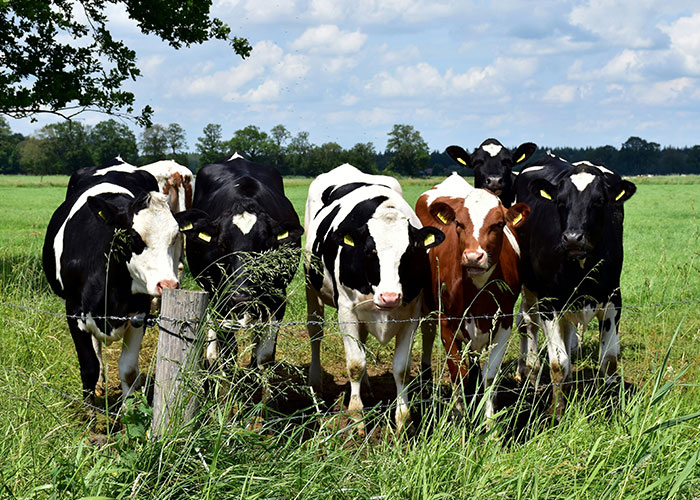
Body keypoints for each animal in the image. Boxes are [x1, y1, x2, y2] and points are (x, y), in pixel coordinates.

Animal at [43, 170, 197, 400]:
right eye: (134, 236)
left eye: (175, 236)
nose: (168, 284)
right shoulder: (73, 311)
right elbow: (89, 367)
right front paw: (89, 408)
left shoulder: (139, 314)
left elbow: (128, 369)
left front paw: (128, 405)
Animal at [178, 153, 303, 370]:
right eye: (221, 244)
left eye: (264, 245)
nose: (241, 297)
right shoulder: (221, 301)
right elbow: (229, 353)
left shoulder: (278, 298)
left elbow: (264, 355)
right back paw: (210, 356)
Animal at [305, 163, 445, 433]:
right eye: (371, 251)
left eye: (409, 253)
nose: (390, 297)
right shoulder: (346, 311)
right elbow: (355, 364)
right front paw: (356, 417)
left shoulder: (411, 314)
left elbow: (401, 368)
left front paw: (402, 419)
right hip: (311, 286)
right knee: (315, 331)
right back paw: (316, 382)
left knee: (363, 340)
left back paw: (367, 387)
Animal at [416, 173, 530, 420]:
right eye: (459, 224)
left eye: (498, 224)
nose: (473, 257)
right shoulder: (447, 323)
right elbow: (458, 373)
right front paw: (460, 417)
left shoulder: (503, 322)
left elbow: (490, 374)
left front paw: (489, 420)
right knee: (427, 332)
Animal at [513, 154, 636, 415]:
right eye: (560, 202)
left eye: (599, 201)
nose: (572, 238)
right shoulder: (548, 303)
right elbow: (558, 363)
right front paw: (556, 412)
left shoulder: (613, 299)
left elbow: (609, 359)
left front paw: (610, 406)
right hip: (529, 289)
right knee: (528, 322)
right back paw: (530, 371)